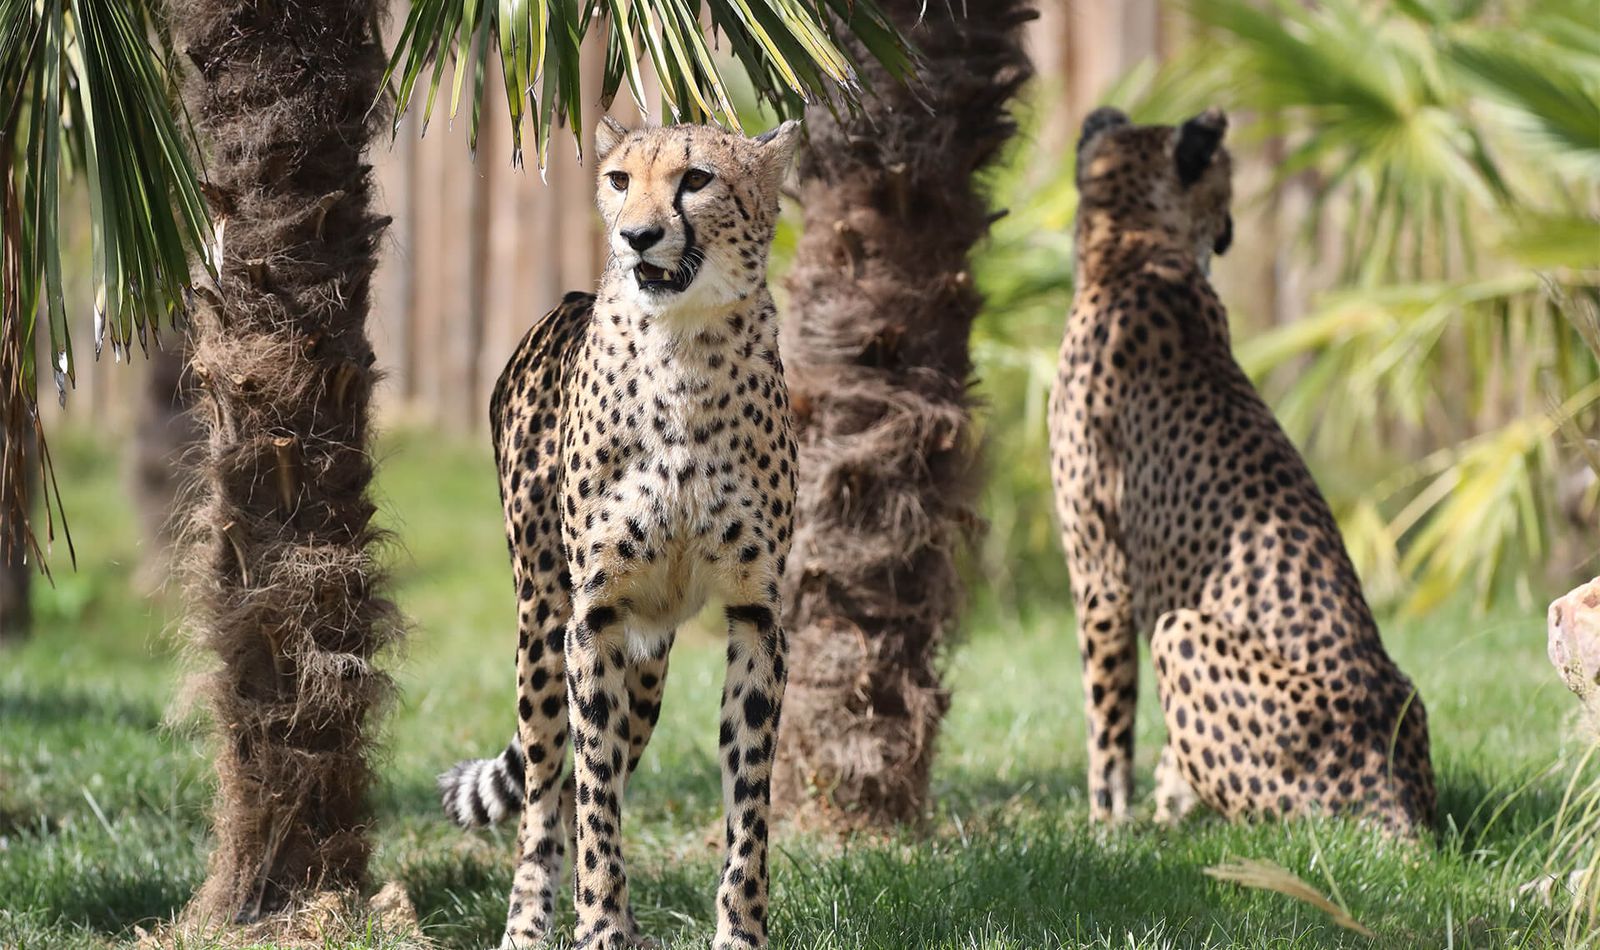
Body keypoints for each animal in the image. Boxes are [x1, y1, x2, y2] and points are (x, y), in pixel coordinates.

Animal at [441, 118, 800, 946]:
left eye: (696, 179)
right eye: (617, 180)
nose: (637, 236)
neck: (686, 351)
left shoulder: (756, 615)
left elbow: (748, 802)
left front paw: (739, 931)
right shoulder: (593, 618)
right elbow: (593, 797)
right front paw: (598, 927)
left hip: (649, 665)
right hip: (543, 629)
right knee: (548, 794)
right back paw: (529, 924)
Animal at [1049, 105, 1440, 831]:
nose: (1230, 228)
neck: (1137, 252)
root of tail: (1396, 798)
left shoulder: (1103, 577)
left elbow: (1106, 723)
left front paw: (1105, 825)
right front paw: (1143, 811)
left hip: (1179, 628)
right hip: (1404, 689)